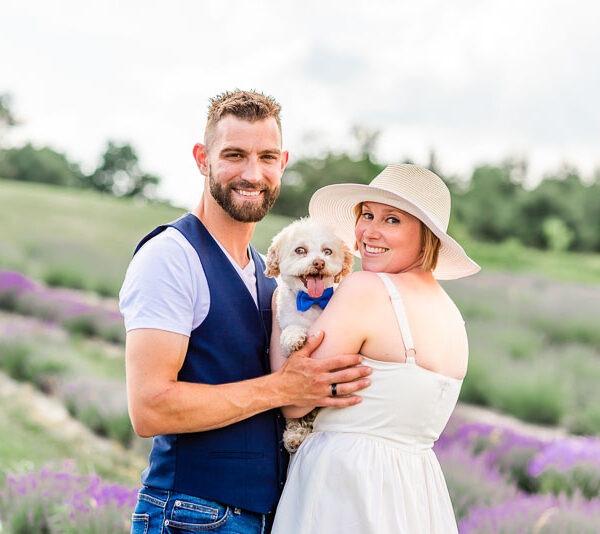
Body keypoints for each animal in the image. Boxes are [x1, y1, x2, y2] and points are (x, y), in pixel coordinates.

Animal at [264, 217, 354, 452]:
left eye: (327, 251)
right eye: (300, 250)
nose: (319, 263)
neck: (314, 301)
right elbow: (290, 332)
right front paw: (295, 338)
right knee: (298, 420)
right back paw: (294, 436)